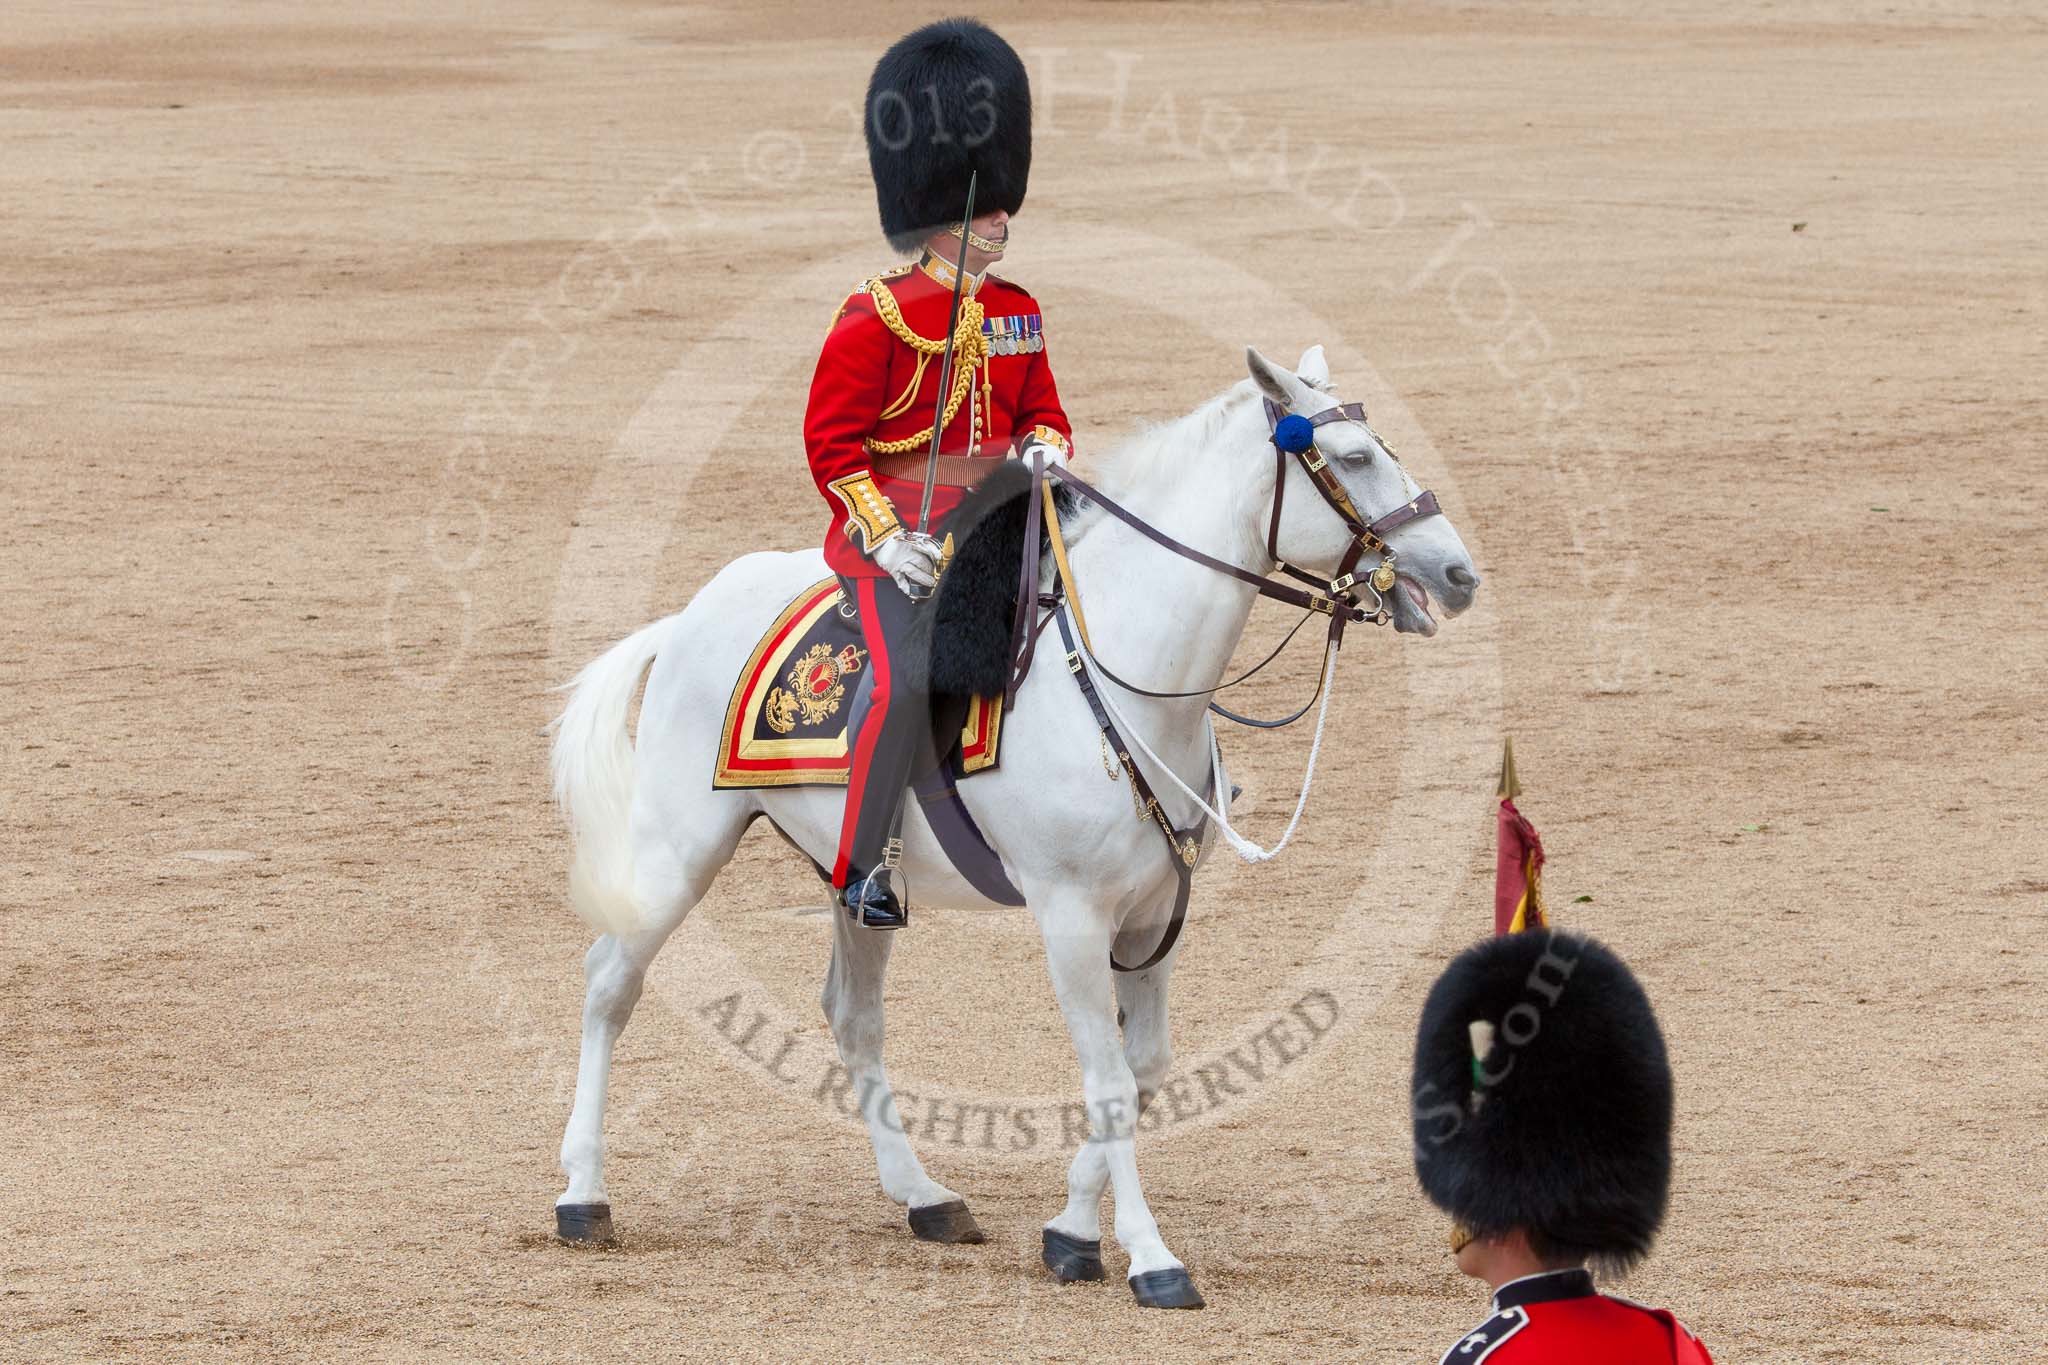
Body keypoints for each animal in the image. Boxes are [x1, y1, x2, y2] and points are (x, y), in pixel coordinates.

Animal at [544, 341, 1474, 1301]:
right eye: (1355, 457)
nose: (1458, 574)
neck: (1128, 672)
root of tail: (689, 615)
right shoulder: (1071, 913)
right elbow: (1108, 1080)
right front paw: (1150, 1256)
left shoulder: (1152, 918)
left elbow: (1143, 1070)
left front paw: (1071, 1231)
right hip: (676, 850)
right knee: (610, 981)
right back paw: (583, 1193)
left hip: (854, 877)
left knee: (853, 1015)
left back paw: (923, 1195)